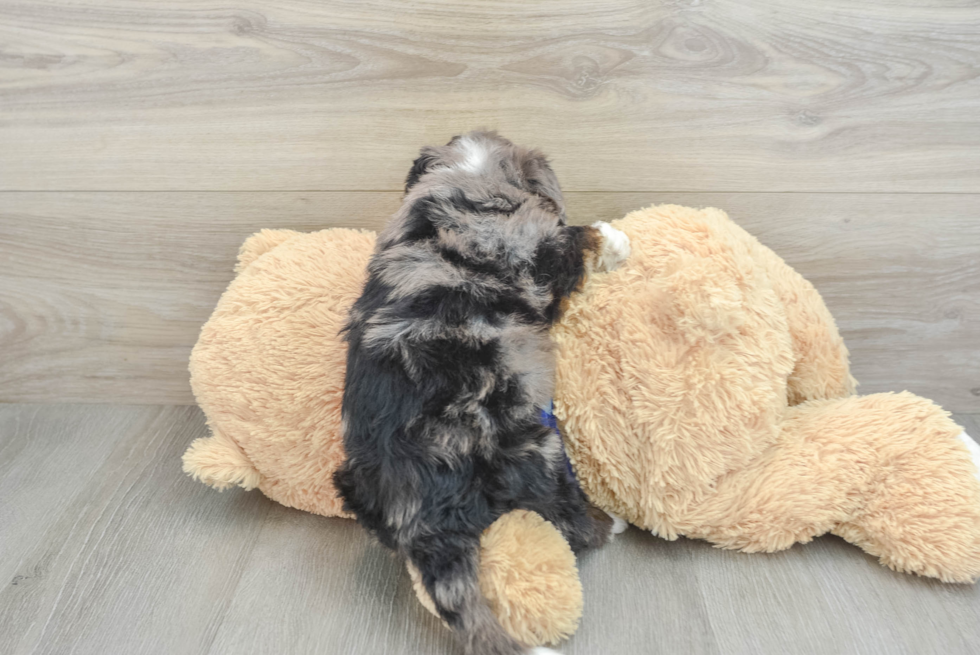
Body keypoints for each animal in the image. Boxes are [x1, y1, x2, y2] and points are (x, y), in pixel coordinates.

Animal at [334, 132, 628, 655]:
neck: (470, 175)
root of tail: (416, 512)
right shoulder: (532, 249)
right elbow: (572, 238)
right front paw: (615, 238)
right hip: (536, 451)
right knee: (567, 517)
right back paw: (608, 523)